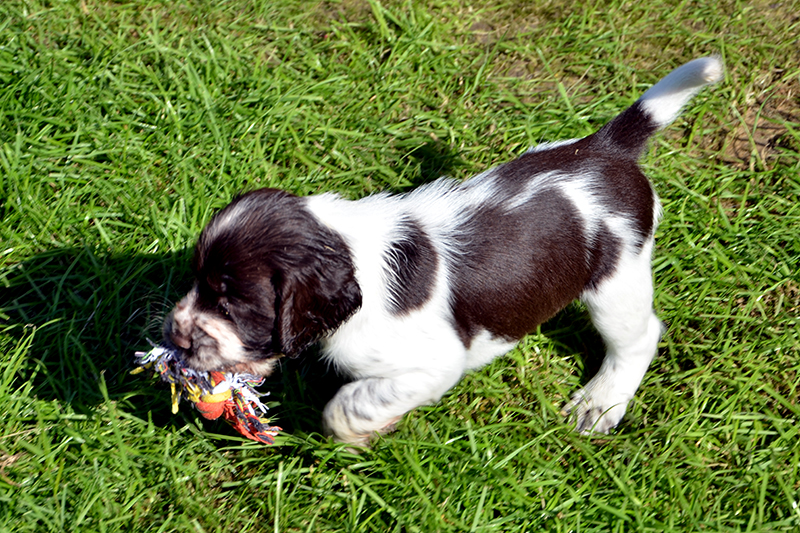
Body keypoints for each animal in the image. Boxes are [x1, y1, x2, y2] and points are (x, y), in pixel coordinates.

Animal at [164, 56, 724, 444]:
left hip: (616, 280)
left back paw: (600, 404)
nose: (175, 336)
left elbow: (348, 405)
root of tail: (606, 148)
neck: (350, 246)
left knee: (638, 338)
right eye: (195, 281)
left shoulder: (432, 363)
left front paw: (360, 433)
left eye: (233, 302)